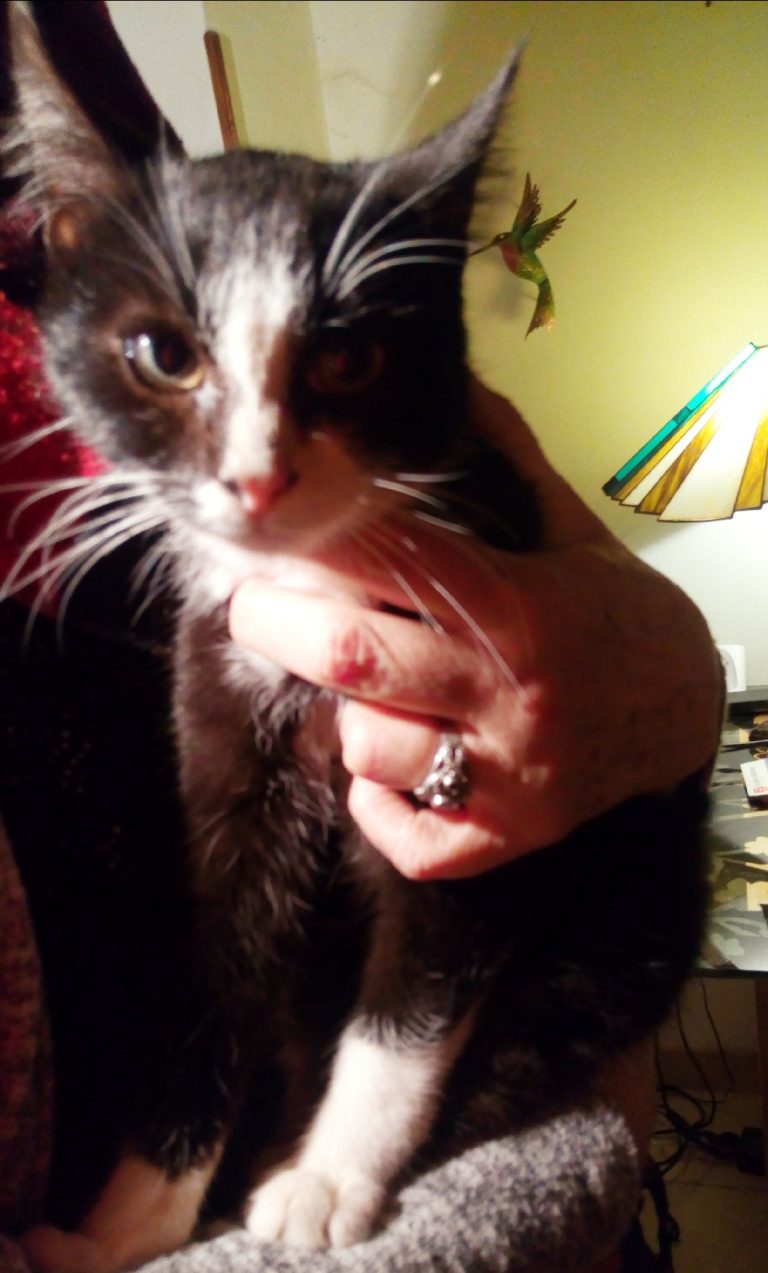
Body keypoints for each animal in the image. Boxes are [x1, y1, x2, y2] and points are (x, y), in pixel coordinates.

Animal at [4, 7, 710, 1271]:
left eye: (348, 359)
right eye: (164, 354)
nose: (257, 477)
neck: (309, 583)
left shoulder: (483, 790)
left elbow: (418, 991)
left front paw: (326, 1183)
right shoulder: (220, 721)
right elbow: (213, 977)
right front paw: (126, 1226)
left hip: (635, 905)